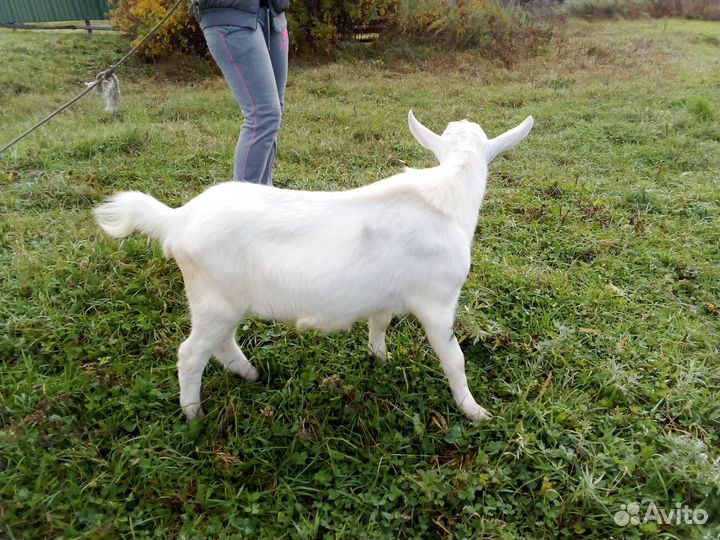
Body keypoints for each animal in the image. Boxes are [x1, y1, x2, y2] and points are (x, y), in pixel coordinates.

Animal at [93, 111, 534, 422]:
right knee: (189, 354)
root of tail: (177, 219)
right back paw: (193, 414)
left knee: (220, 344)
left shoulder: (386, 294)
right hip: (215, 299)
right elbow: (454, 358)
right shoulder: (438, 300)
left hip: (221, 301)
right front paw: (473, 410)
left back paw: (250, 375)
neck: (446, 194)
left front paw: (379, 359)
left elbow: (379, 322)